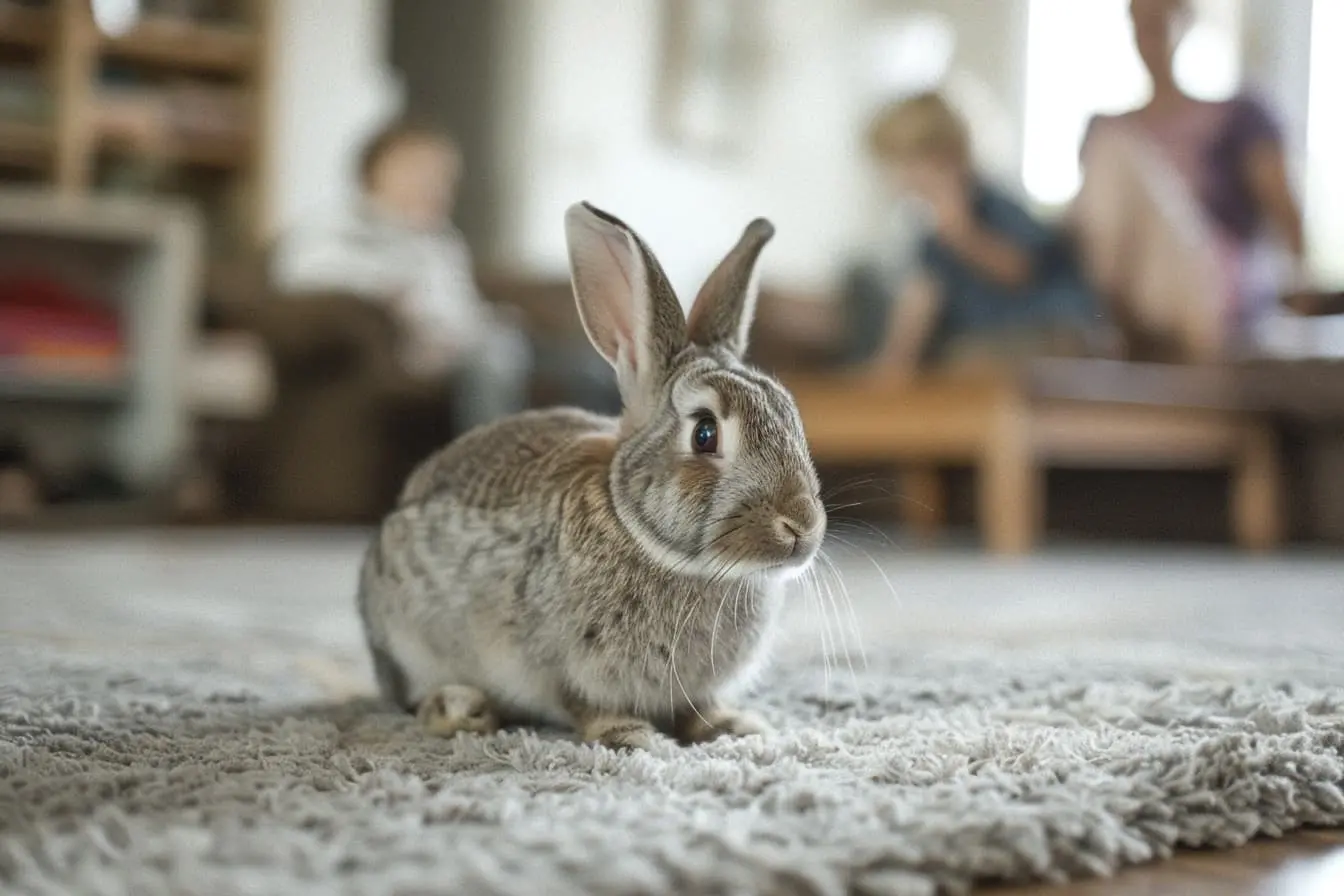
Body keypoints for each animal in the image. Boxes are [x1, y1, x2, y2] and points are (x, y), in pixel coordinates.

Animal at [352, 201, 822, 752]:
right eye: (705, 434)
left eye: (791, 414)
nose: (802, 526)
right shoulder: (559, 664)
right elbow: (585, 704)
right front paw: (633, 735)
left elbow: (699, 708)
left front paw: (734, 726)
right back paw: (459, 710)